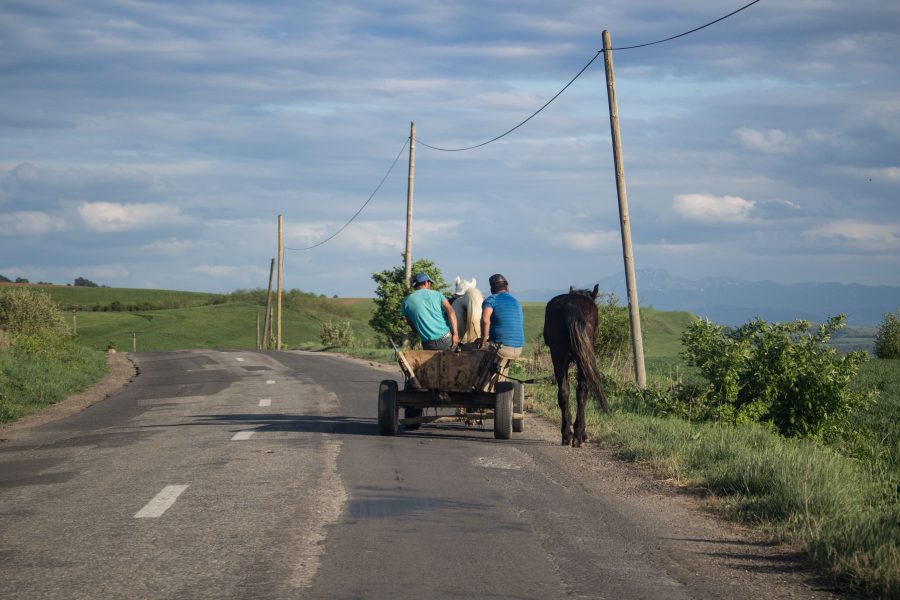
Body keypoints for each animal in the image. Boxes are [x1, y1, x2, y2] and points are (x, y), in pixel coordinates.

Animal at [540, 284, 612, 446]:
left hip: (560, 358)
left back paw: (568, 434)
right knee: (578, 392)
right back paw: (576, 434)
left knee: (566, 392)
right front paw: (582, 433)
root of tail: (571, 304)